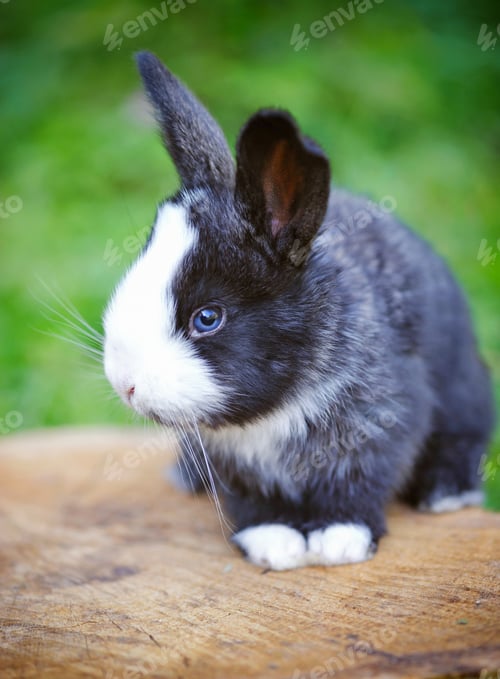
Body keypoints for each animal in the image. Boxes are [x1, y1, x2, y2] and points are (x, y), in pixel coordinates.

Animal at [103, 51, 494, 570]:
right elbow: (253, 503)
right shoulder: (233, 464)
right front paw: (273, 543)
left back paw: (446, 494)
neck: (272, 411)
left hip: (466, 392)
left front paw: (339, 539)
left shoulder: (378, 426)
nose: (123, 384)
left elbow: (354, 489)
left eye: (208, 318)